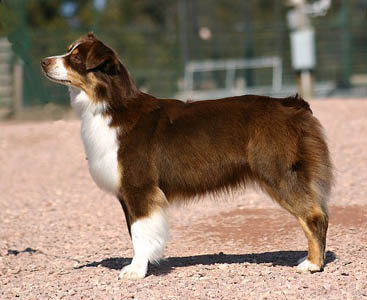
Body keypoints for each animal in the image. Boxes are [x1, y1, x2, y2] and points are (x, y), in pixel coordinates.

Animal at [42, 34, 334, 280]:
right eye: (68, 50)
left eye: (76, 58)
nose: (44, 62)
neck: (110, 105)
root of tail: (292, 104)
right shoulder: (127, 193)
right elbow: (134, 232)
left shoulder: (139, 187)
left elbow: (140, 232)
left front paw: (136, 270)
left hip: (278, 172)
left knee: (315, 216)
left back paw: (312, 264)